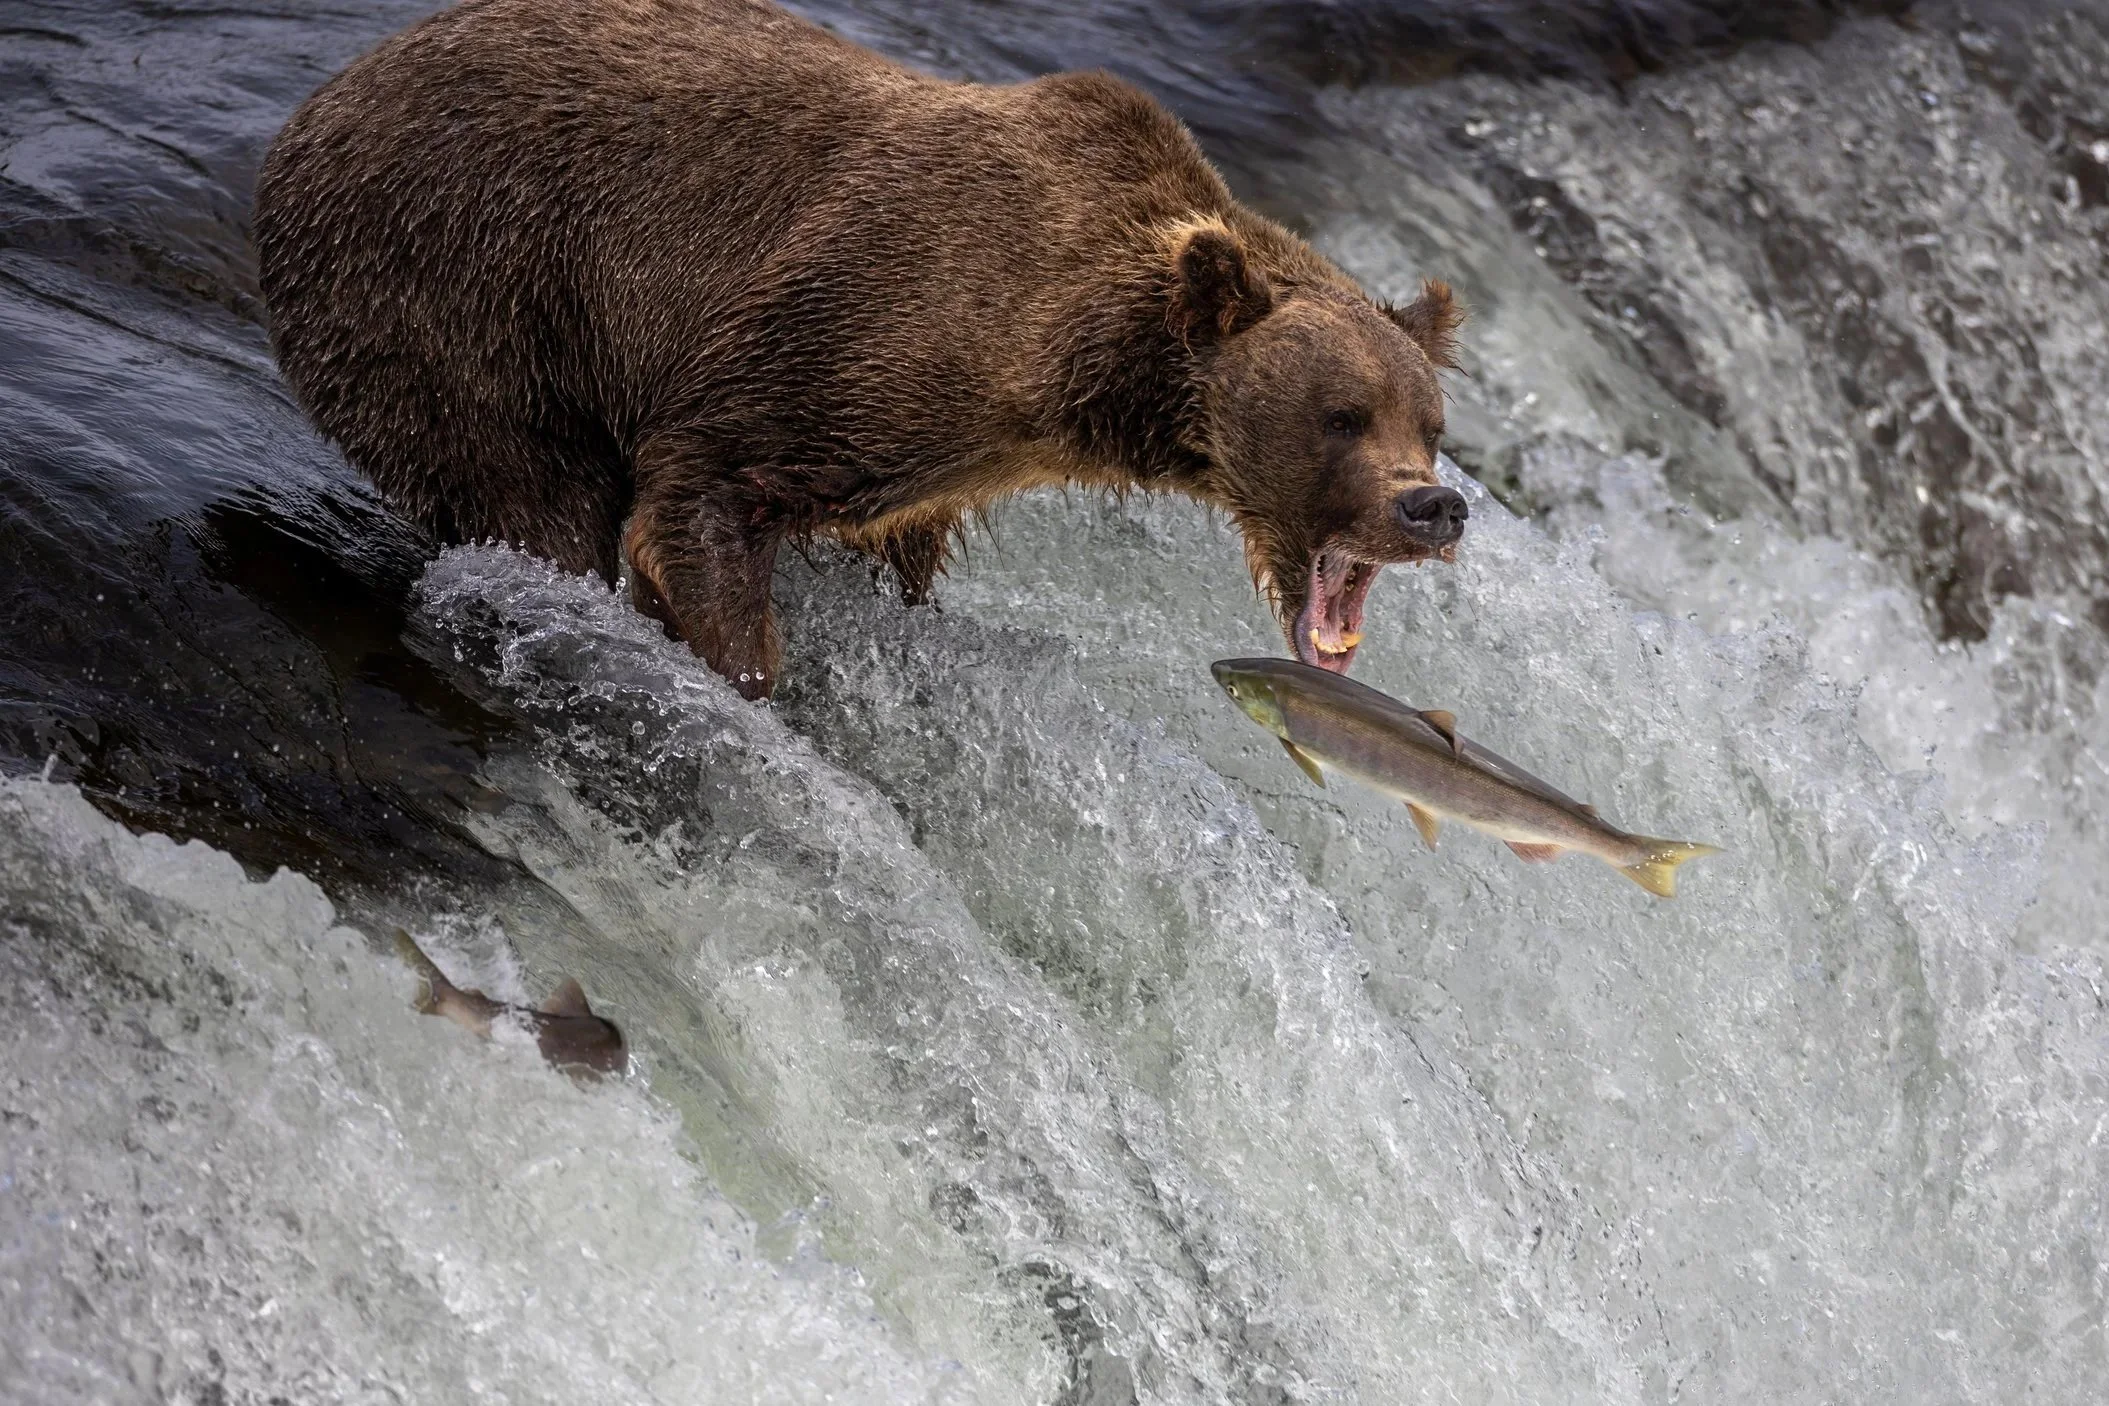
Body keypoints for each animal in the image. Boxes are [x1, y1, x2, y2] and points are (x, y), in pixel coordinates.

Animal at [252, 0, 1466, 701]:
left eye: (1430, 424)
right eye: (1342, 414)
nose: (1434, 506)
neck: (1056, 358)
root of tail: (313, 106)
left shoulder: (930, 467)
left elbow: (888, 551)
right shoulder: (861, 332)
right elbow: (702, 488)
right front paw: (738, 663)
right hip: (456, 283)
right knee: (527, 489)